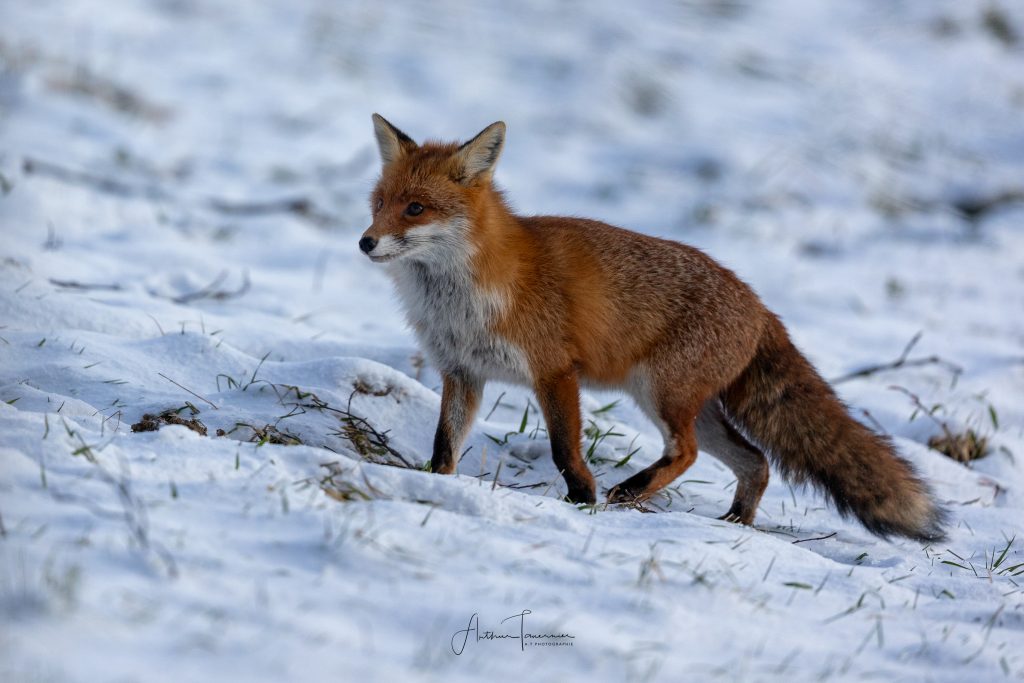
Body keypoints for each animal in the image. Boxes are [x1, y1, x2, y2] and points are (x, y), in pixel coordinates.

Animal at [359, 114, 947, 542]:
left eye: (416, 209)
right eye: (380, 203)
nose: (365, 242)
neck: (465, 295)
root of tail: (761, 307)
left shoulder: (555, 371)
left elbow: (565, 449)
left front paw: (581, 500)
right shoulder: (462, 372)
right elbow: (445, 444)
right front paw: (434, 486)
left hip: (661, 394)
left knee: (687, 453)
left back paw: (631, 491)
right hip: (689, 406)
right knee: (755, 460)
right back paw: (736, 522)